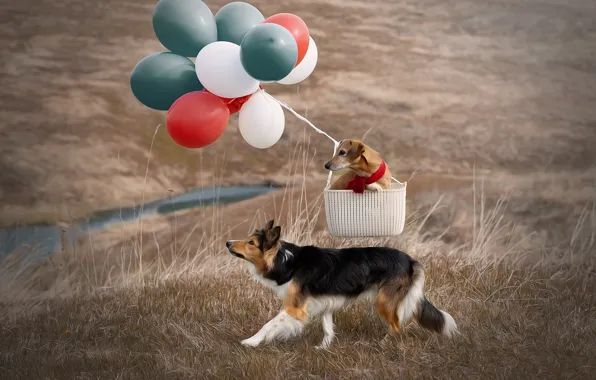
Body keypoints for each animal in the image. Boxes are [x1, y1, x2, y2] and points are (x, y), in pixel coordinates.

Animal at [226, 220, 458, 348]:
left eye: (251, 243)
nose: (227, 242)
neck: (285, 260)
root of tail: (410, 260)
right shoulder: (326, 301)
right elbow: (328, 328)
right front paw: (323, 348)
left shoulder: (295, 308)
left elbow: (269, 324)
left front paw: (251, 341)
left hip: (384, 301)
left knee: (397, 327)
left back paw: (383, 345)